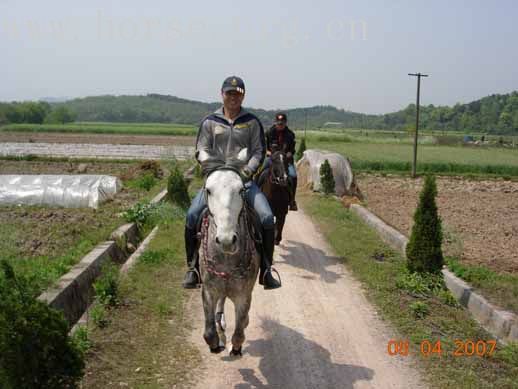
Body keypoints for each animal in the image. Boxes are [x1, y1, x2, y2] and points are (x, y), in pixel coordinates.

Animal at [201, 151, 262, 354]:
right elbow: (208, 331)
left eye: (241, 190)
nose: (226, 240)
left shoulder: (243, 295)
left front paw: (235, 348)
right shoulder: (208, 290)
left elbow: (240, 330)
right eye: (208, 190)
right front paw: (215, 344)